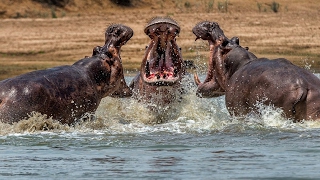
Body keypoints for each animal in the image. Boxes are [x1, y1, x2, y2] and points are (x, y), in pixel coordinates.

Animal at [192, 20, 320, 122]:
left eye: (222, 41)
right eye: (236, 38)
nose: (212, 24)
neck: (242, 62)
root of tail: (303, 86)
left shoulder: (236, 110)